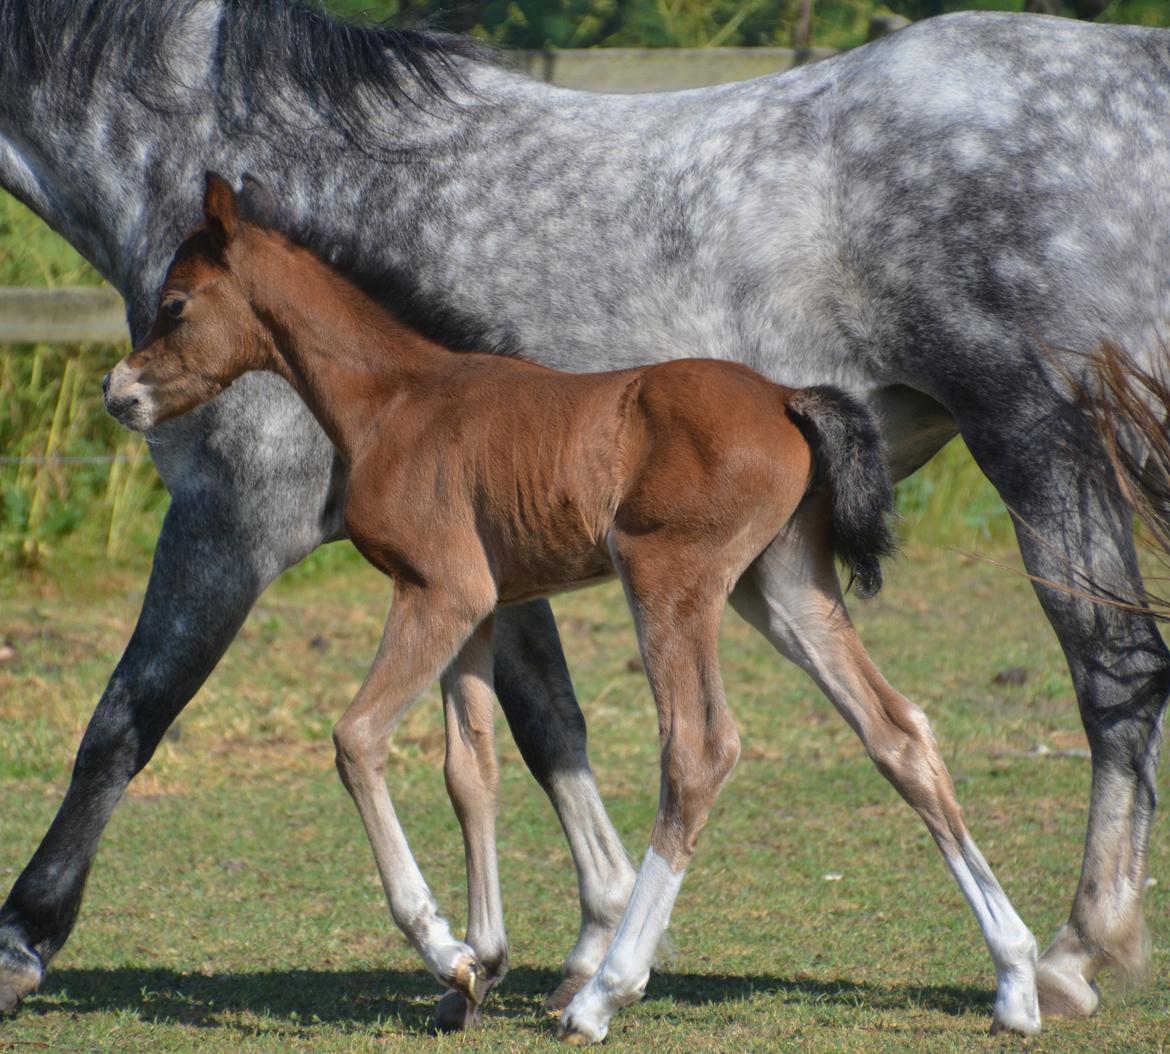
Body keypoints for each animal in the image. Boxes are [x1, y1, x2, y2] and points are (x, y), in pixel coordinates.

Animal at [101, 174, 1047, 1041]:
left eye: (174, 304)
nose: (119, 393)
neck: (396, 400)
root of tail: (786, 398)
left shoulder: (437, 589)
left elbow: (357, 738)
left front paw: (443, 948)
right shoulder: (480, 609)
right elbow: (470, 769)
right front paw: (476, 970)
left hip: (669, 578)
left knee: (699, 750)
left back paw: (603, 994)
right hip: (781, 589)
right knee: (898, 732)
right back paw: (1018, 980)